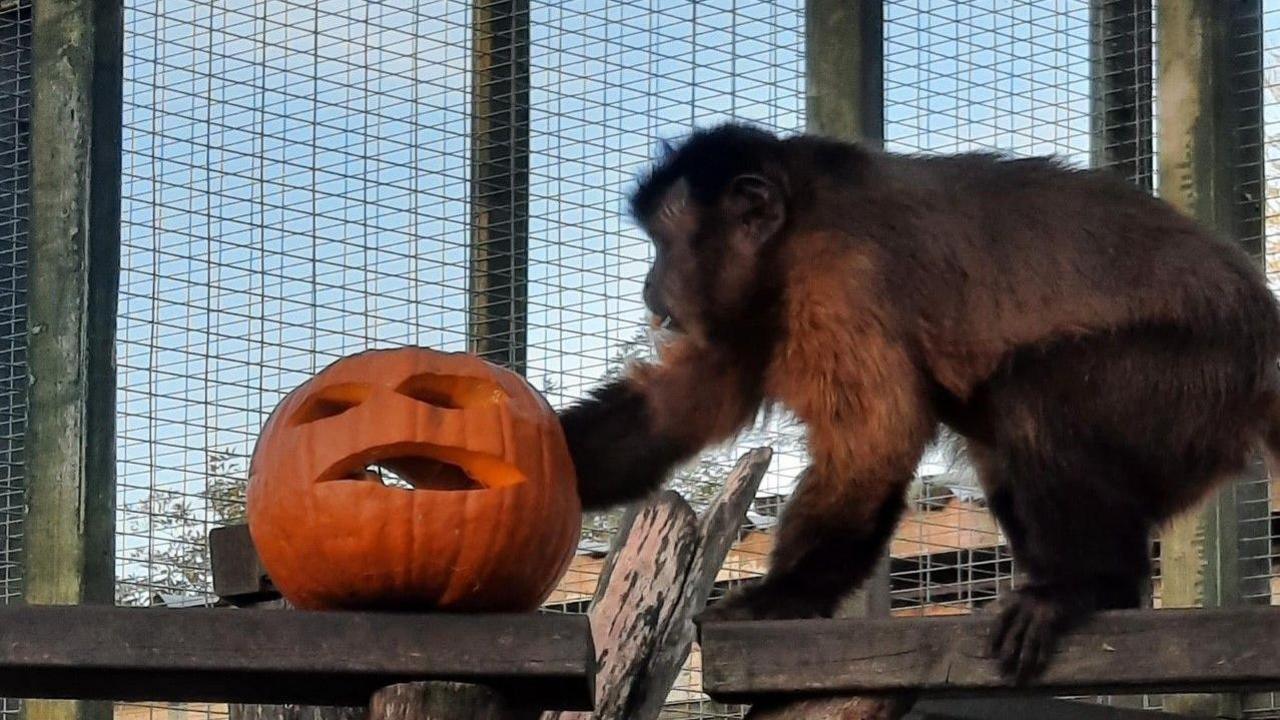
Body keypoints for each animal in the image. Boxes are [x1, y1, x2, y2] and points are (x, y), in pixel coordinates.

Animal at [555, 121, 1280, 676]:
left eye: (664, 245)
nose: (651, 286)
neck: (788, 243)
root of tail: (1265, 345)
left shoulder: (838, 275)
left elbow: (876, 443)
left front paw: (787, 595)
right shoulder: (745, 312)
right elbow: (671, 413)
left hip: (1198, 381)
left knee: (1030, 396)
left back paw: (1085, 587)